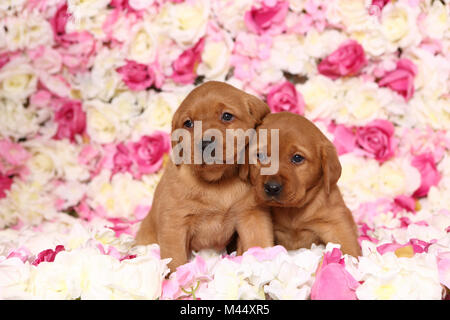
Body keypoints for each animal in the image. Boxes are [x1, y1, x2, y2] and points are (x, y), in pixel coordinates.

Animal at [135, 82, 272, 270]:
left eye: (227, 116)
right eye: (188, 123)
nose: (206, 143)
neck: (218, 182)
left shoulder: (252, 215)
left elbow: (260, 243)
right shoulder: (174, 223)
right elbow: (175, 259)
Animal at [243, 112, 362, 258]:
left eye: (297, 158)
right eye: (261, 155)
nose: (272, 188)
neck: (292, 210)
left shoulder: (335, 223)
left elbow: (349, 248)